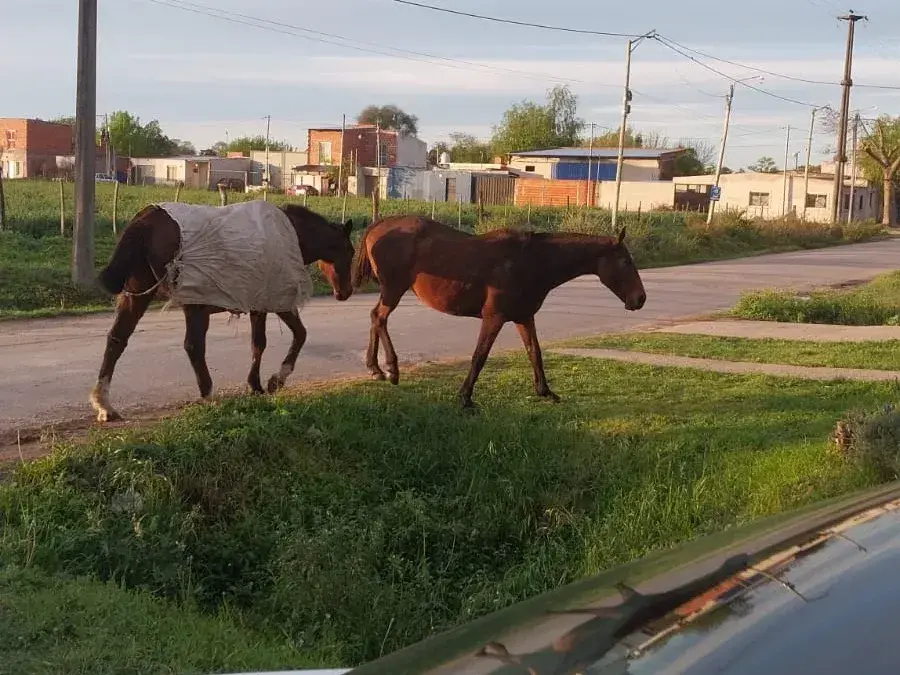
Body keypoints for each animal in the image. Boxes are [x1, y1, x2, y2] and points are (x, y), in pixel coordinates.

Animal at [89, 201, 355, 423]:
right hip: (194, 305)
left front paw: (256, 385)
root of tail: (144, 219)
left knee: (116, 340)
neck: (290, 234)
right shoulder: (275, 301)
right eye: (350, 252)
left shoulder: (257, 306)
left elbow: (258, 344)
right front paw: (274, 381)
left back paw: (105, 404)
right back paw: (208, 394)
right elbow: (297, 335)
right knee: (193, 346)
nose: (346, 292)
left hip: (137, 296)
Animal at [351, 216, 646, 408]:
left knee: (375, 318)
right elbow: (479, 356)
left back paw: (376, 368)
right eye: (625, 261)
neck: (531, 260)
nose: (640, 299)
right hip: (394, 289)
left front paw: (546, 392)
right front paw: (465, 397)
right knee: (379, 318)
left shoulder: (524, 317)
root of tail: (378, 225)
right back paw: (391, 369)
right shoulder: (494, 318)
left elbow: (535, 353)